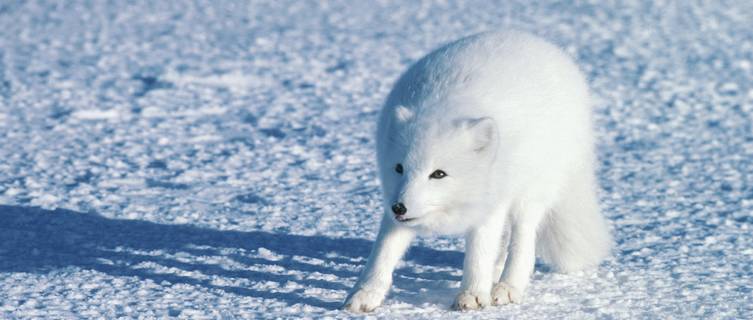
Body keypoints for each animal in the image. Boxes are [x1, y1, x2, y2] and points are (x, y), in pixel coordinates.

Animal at [342, 31, 612, 312]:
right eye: (398, 168)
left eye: (438, 174)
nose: (399, 208)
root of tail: (544, 44)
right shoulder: (395, 204)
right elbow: (383, 251)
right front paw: (364, 294)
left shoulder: (491, 203)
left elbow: (478, 253)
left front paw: (471, 296)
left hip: (530, 193)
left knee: (523, 243)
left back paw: (507, 287)